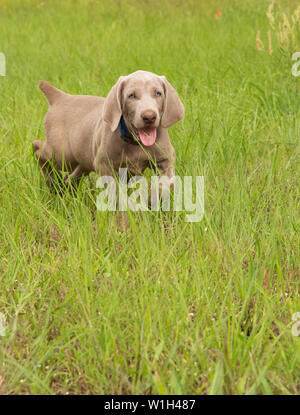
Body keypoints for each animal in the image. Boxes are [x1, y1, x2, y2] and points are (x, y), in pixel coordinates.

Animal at [32, 70, 183, 188]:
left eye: (158, 93)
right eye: (131, 95)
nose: (149, 117)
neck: (135, 143)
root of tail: (61, 97)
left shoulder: (166, 158)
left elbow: (167, 183)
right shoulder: (104, 165)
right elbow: (116, 194)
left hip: (84, 158)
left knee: (72, 176)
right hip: (63, 154)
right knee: (38, 150)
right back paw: (51, 181)